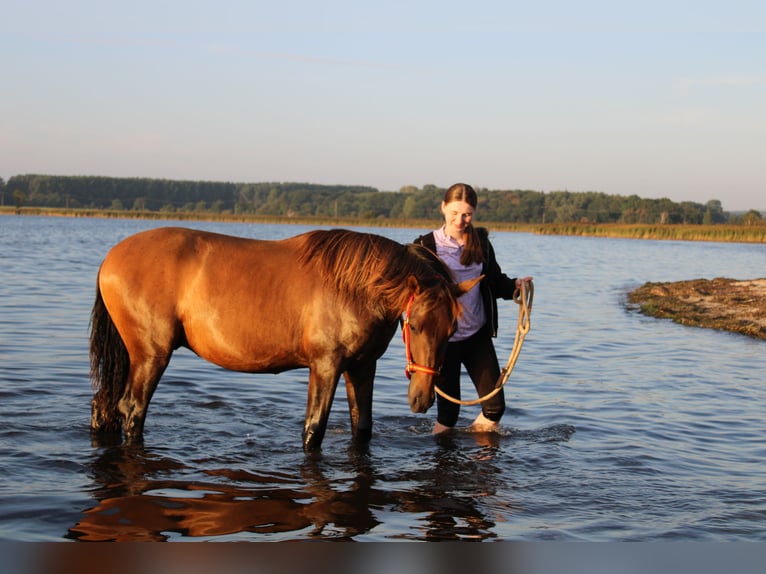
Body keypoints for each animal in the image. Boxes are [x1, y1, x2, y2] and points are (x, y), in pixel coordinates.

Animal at [91, 227, 480, 452]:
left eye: (451, 331)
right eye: (415, 326)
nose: (422, 399)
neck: (355, 288)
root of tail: (111, 257)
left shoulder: (360, 367)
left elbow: (363, 429)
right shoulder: (325, 366)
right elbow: (314, 429)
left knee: (104, 406)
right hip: (150, 356)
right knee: (132, 411)